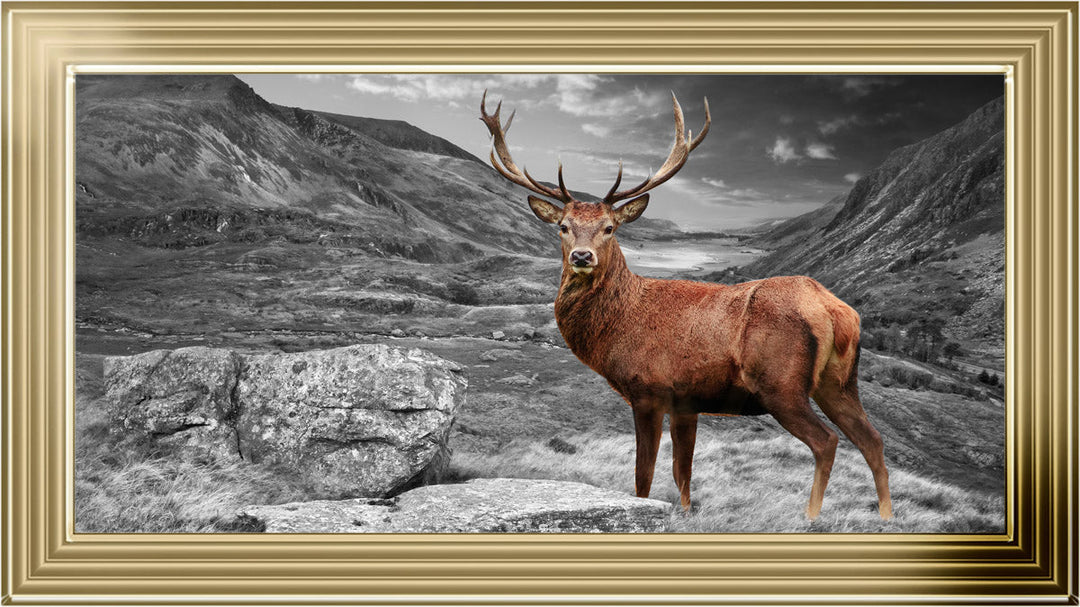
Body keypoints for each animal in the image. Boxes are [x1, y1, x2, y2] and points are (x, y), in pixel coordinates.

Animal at [479, 91, 892, 521]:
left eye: (610, 228)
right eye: (563, 226)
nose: (581, 256)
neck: (618, 327)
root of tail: (836, 311)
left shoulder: (649, 389)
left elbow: (644, 476)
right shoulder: (686, 403)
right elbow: (683, 474)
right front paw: (687, 513)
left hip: (782, 384)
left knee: (827, 441)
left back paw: (810, 517)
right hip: (839, 382)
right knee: (873, 439)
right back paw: (885, 515)